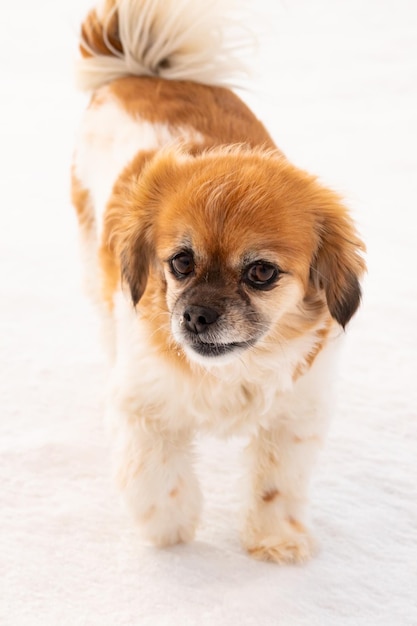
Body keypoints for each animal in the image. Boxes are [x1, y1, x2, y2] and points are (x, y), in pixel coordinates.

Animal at [71, 0, 364, 564]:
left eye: (261, 273)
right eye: (181, 262)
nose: (195, 315)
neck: (232, 373)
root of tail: (142, 71)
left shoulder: (295, 414)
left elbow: (276, 484)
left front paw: (275, 541)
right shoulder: (142, 405)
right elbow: (158, 479)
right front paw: (171, 533)